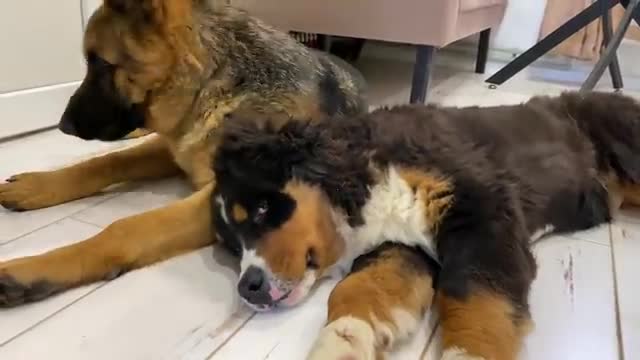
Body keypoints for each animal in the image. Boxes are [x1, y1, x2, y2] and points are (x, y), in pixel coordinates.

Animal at [0, 0, 364, 306]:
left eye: (100, 63)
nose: (63, 126)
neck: (214, 83)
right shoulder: (174, 150)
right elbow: (106, 162)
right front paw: (37, 186)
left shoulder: (221, 191)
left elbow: (126, 228)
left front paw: (31, 270)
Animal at [211, 90, 640, 360]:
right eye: (232, 247)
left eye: (262, 209)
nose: (248, 287)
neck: (369, 179)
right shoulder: (402, 244)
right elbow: (358, 288)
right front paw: (343, 343)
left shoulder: (481, 212)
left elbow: (475, 300)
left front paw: (468, 356)